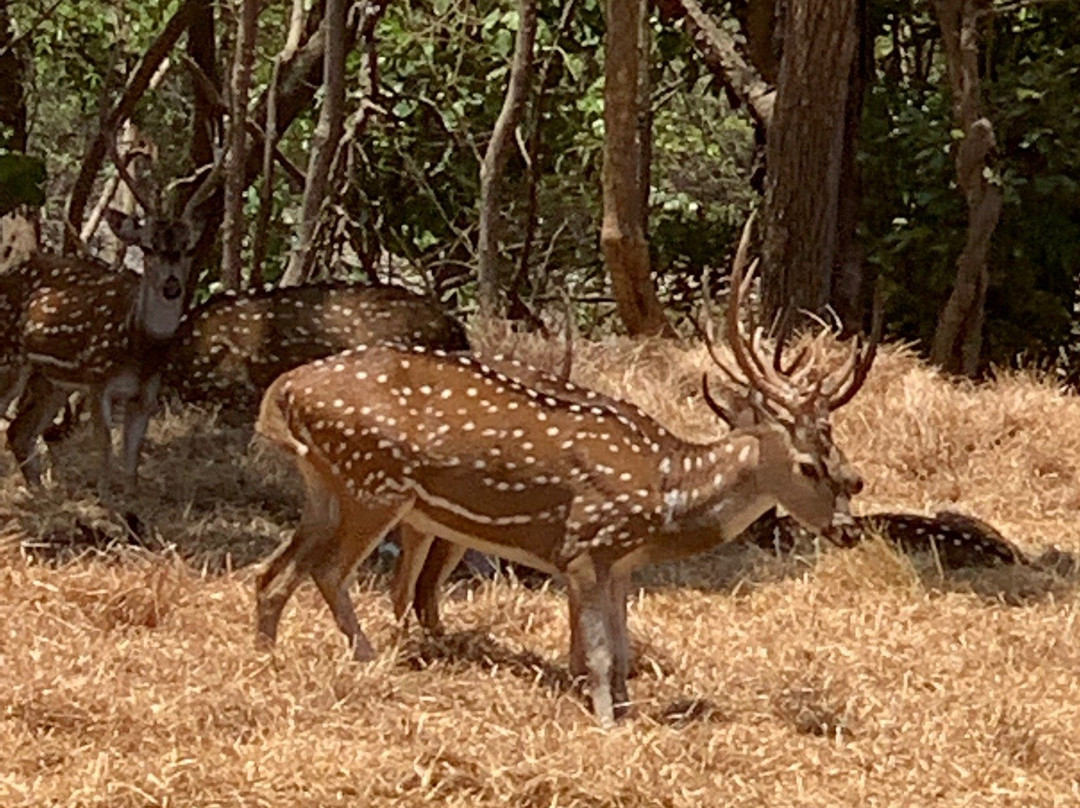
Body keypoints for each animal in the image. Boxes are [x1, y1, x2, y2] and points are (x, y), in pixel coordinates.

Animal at [252, 222, 876, 725]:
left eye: (845, 463)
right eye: (809, 466)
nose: (847, 528)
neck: (668, 487)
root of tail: (283, 391)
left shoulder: (620, 563)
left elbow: (621, 648)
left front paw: (625, 709)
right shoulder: (585, 544)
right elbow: (599, 652)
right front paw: (604, 721)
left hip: (327, 486)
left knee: (273, 571)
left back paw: (267, 660)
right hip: (373, 484)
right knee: (330, 571)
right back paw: (366, 658)